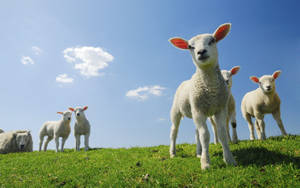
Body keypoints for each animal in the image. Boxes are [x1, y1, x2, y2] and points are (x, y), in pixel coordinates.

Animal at [169, 22, 237, 170]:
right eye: (190, 46)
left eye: (212, 40)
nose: (201, 52)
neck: (211, 89)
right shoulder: (199, 111)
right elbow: (205, 135)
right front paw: (206, 164)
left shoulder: (220, 109)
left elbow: (222, 133)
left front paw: (229, 159)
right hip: (177, 110)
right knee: (174, 131)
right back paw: (173, 153)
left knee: (197, 133)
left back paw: (199, 153)